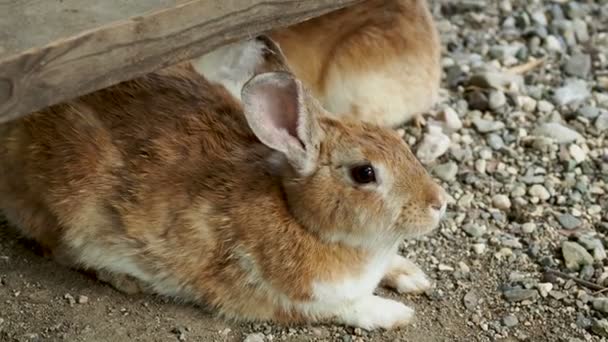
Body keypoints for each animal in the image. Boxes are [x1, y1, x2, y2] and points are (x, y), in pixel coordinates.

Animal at [0, 36, 446, 330]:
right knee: (60, 250)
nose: (439, 202)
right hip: (71, 207)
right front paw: (397, 314)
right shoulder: (286, 299)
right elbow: (349, 306)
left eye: (398, 142)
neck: (298, 216)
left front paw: (413, 276)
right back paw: (125, 279)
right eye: (364, 173)